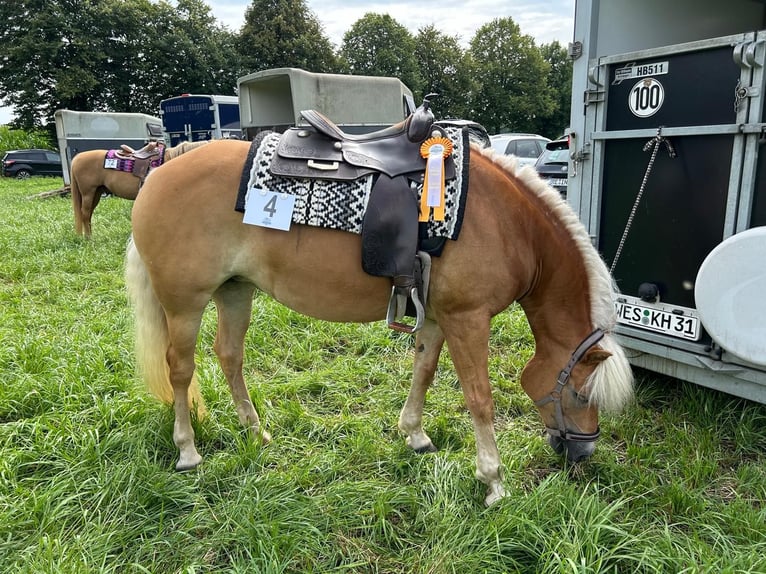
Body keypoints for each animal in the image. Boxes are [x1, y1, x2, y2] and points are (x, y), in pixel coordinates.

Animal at [68, 141, 206, 237]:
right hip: (88, 192)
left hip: (96, 192)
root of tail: (77, 158)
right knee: (85, 213)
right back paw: (89, 238)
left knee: (88, 214)